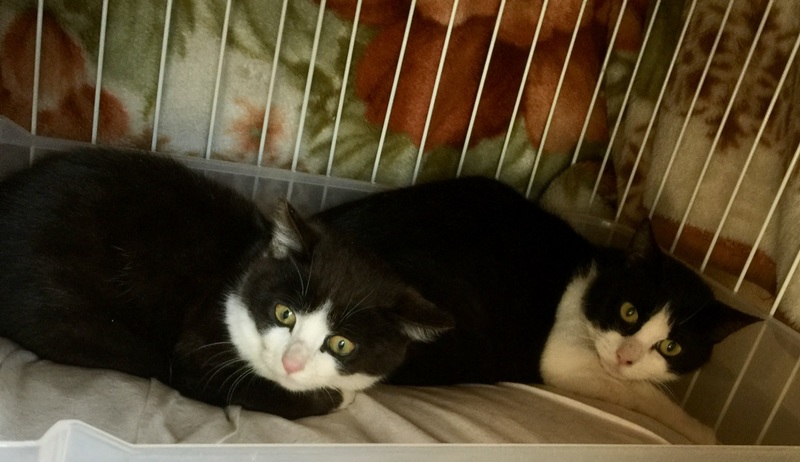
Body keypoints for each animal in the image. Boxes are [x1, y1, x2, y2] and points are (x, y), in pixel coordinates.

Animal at [0, 149, 452, 419]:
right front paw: (338, 398)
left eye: (342, 344)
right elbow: (257, 390)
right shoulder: (198, 352)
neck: (244, 268)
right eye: (284, 313)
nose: (291, 363)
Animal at [314, 176, 759, 444]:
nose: (625, 357)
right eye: (629, 312)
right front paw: (703, 433)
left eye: (671, 347)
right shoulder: (563, 357)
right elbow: (638, 392)